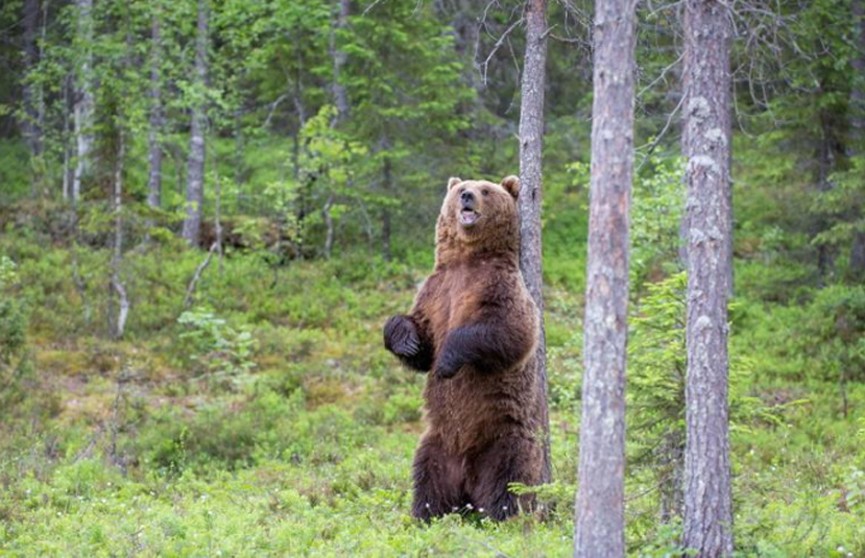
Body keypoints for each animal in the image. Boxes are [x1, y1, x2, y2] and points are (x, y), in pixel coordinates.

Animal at [384, 176, 540, 524]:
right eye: (460, 188)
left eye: (486, 189)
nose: (467, 196)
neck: (467, 259)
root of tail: (467, 483)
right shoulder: (435, 291)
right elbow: (421, 338)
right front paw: (405, 339)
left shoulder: (500, 286)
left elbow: (510, 331)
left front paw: (446, 361)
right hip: (437, 444)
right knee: (428, 479)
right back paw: (425, 515)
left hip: (502, 438)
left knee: (508, 478)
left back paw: (502, 516)